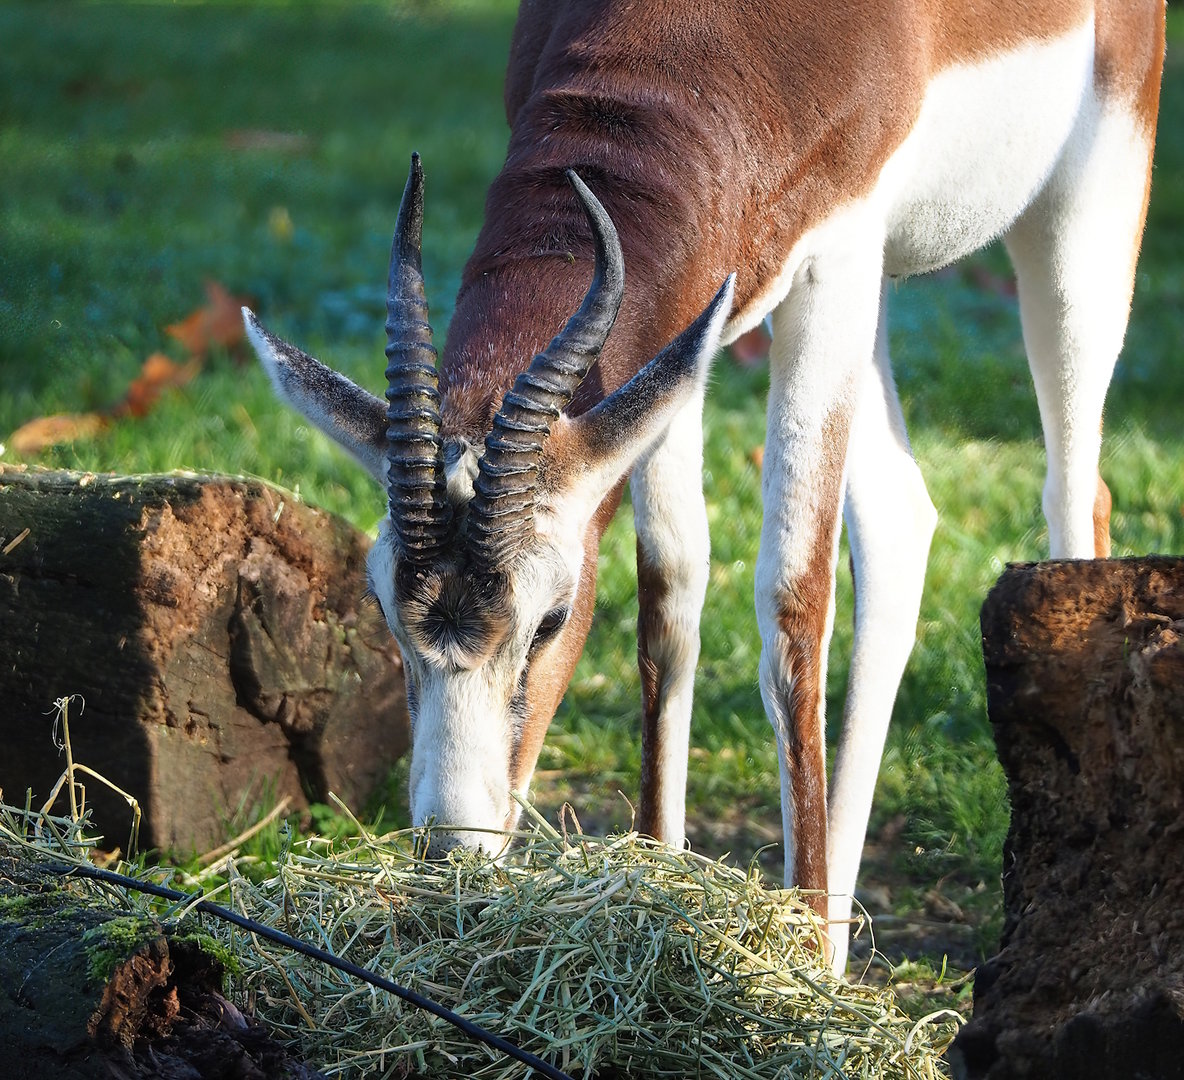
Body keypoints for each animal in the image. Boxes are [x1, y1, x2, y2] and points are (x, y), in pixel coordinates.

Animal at [243, 0, 1165, 974]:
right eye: (385, 612)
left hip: (1083, 211)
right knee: (902, 521)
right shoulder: (686, 328)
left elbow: (793, 599)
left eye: (551, 621)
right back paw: (841, 939)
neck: (680, 44)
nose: (454, 851)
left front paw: (797, 957)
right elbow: (669, 591)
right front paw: (662, 866)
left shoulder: (833, 264)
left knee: (1075, 493)